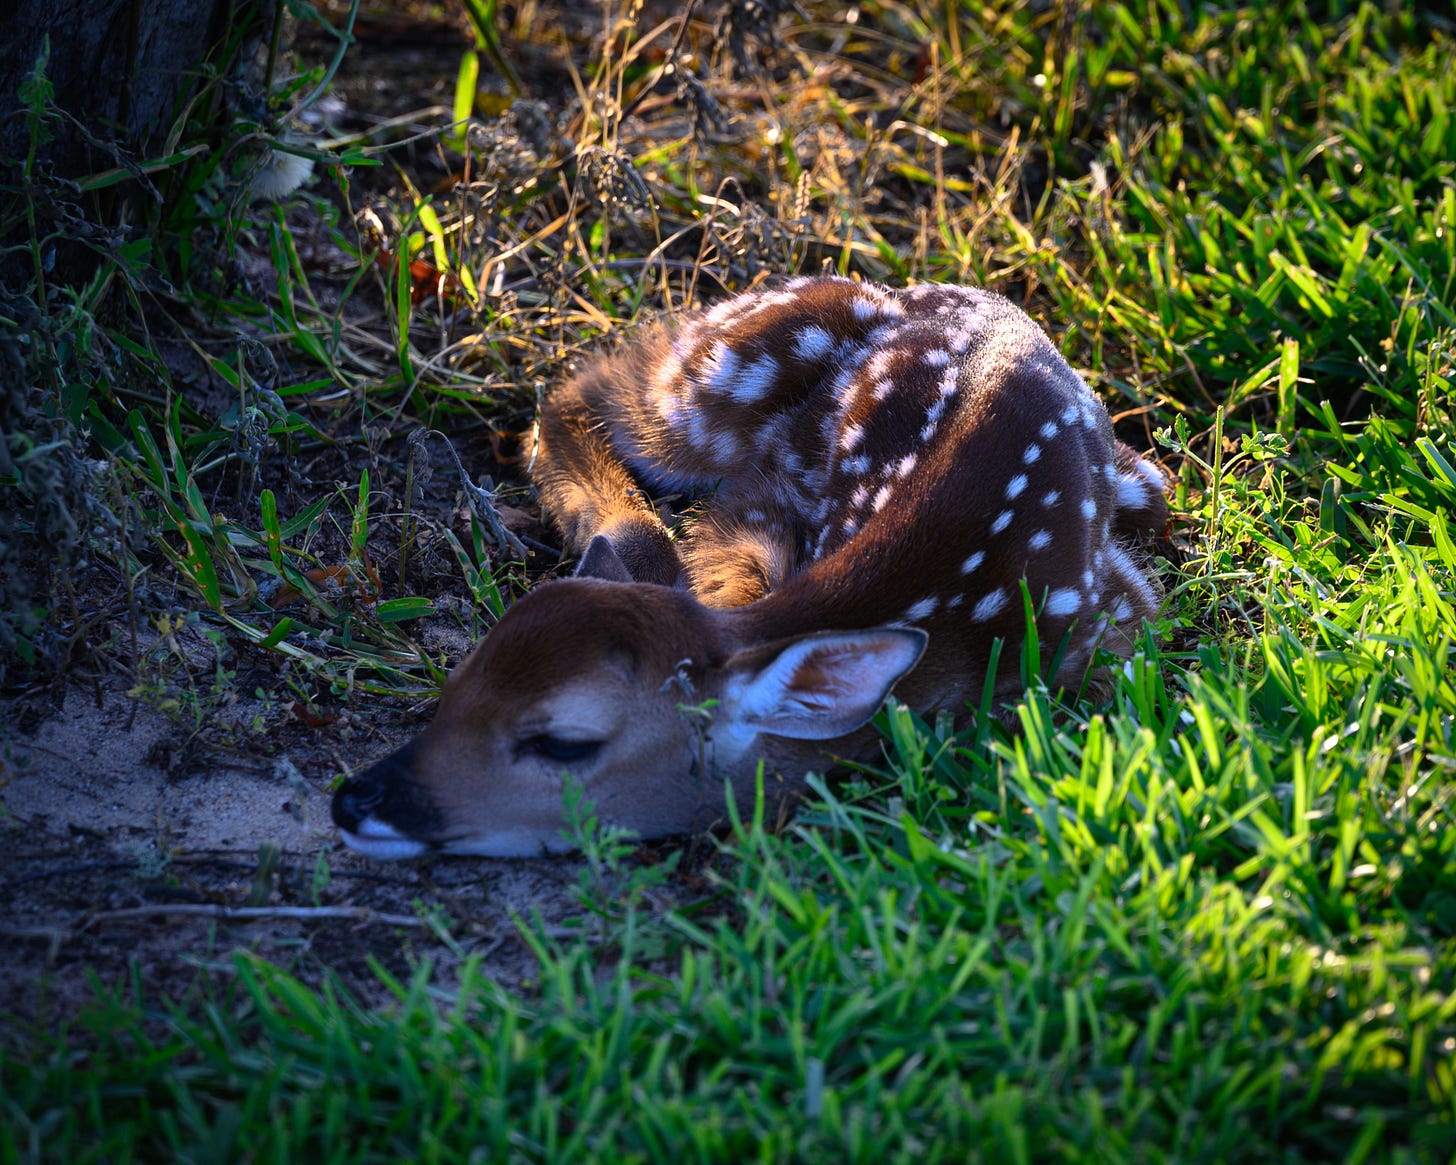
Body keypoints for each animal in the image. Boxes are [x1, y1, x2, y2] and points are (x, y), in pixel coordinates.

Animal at [334, 273, 1164, 856]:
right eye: (456, 681)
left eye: (564, 743)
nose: (353, 799)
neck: (952, 610)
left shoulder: (1113, 621)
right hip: (726, 367)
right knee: (581, 390)